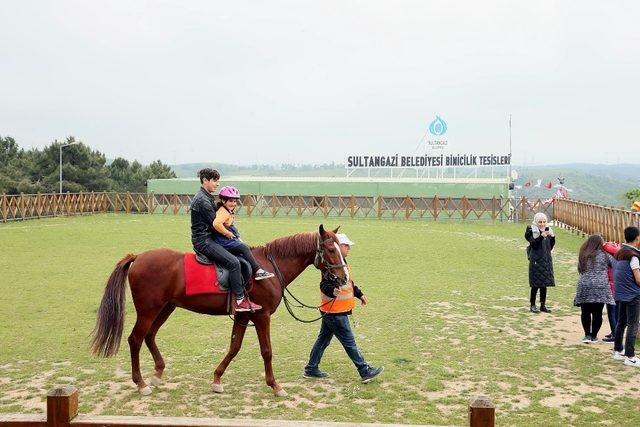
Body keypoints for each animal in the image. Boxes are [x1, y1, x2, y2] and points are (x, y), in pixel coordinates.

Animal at [90, 226, 348, 396]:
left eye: (339, 248)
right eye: (329, 249)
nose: (344, 277)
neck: (268, 267)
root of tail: (138, 257)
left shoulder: (243, 315)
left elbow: (234, 347)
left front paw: (216, 379)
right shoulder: (261, 316)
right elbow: (266, 351)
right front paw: (275, 385)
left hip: (166, 307)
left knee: (149, 336)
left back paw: (157, 374)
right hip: (148, 310)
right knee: (135, 339)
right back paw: (141, 383)